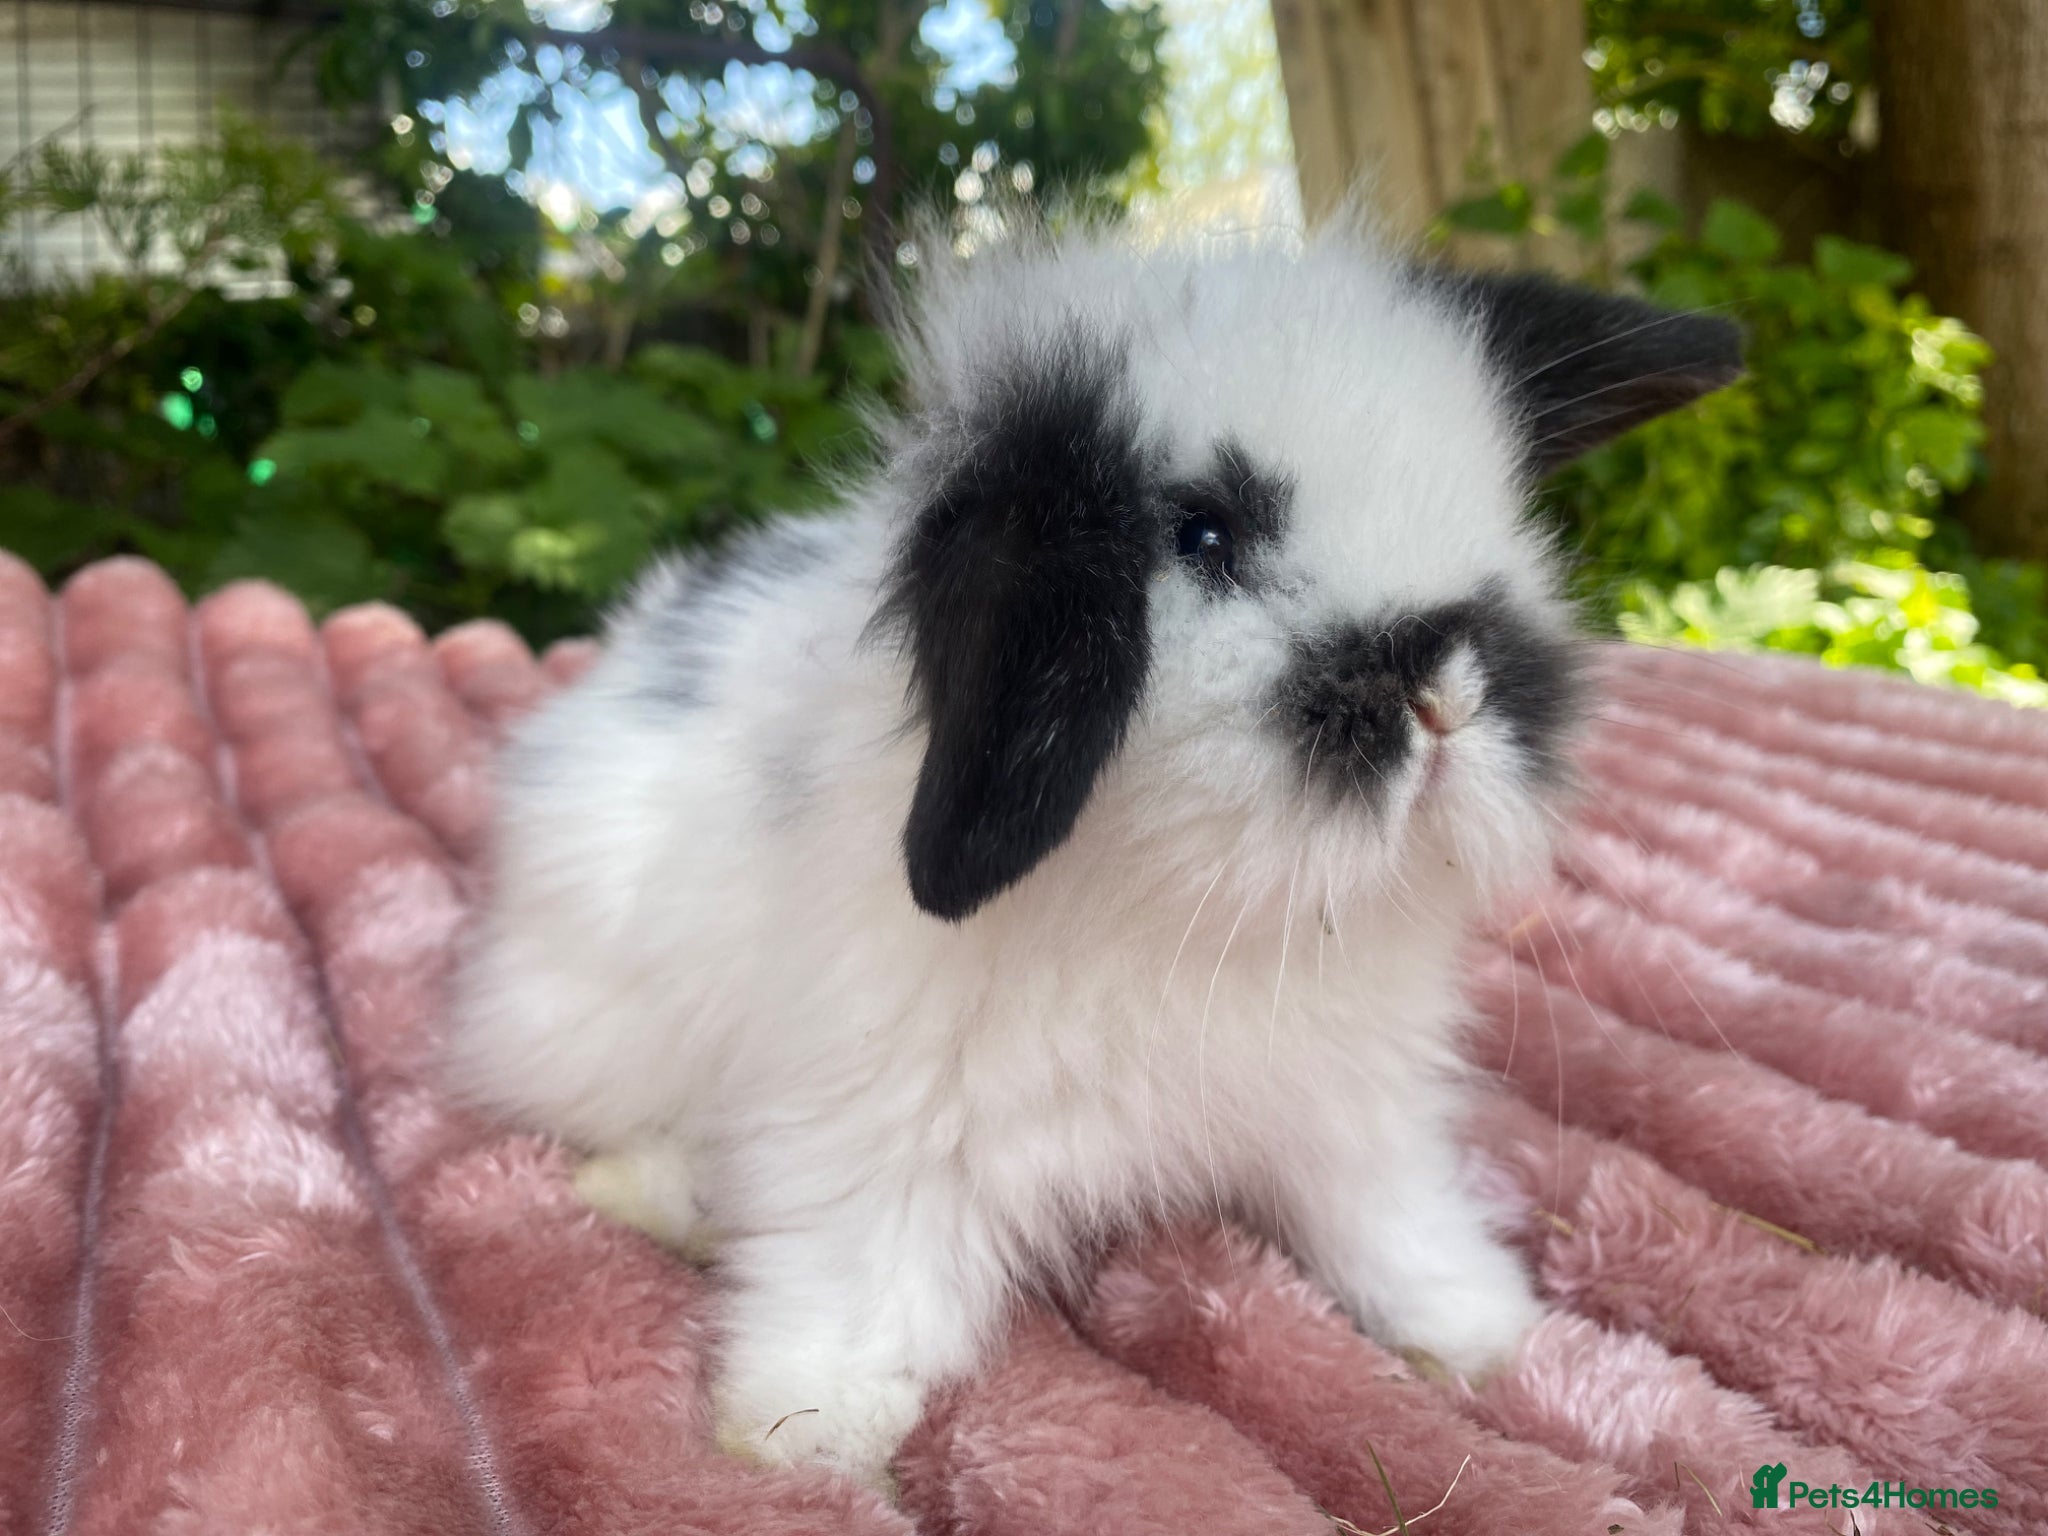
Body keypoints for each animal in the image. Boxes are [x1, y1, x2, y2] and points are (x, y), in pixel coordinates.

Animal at [446, 216, 1741, 1485]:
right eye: (1201, 532)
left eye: (1497, 508)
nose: (1444, 695)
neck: (1186, 902)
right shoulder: (876, 1117)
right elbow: (859, 1274)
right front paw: (798, 1437)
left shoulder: (1356, 1104)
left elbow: (1385, 1216)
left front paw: (1477, 1328)